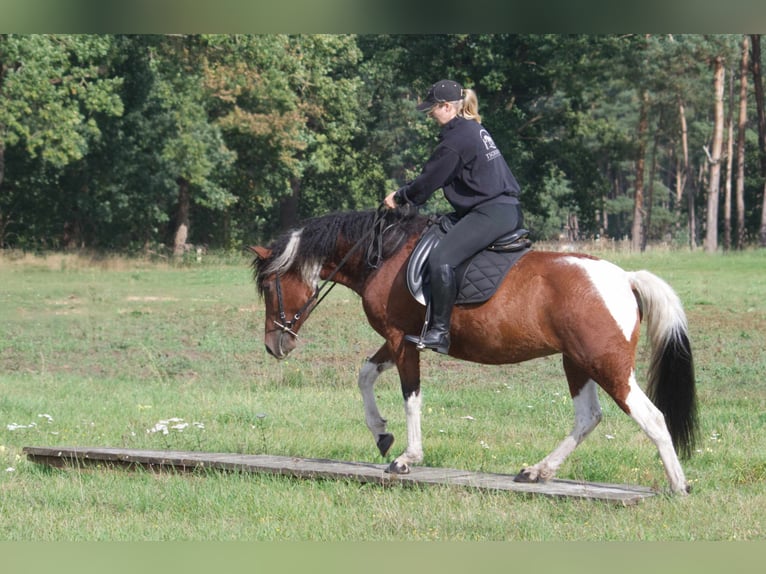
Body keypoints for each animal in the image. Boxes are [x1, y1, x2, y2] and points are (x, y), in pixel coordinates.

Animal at [252, 209, 704, 498]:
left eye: (270, 287)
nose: (275, 345)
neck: (386, 253)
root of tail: (625, 278)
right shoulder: (397, 339)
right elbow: (365, 375)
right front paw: (381, 433)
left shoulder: (402, 340)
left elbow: (411, 398)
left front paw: (406, 458)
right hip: (576, 362)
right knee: (588, 417)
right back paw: (537, 471)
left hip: (606, 364)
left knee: (652, 417)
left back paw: (678, 485)